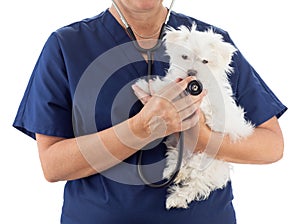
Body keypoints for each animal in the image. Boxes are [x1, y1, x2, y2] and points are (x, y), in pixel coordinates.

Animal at [132, 23, 252, 209]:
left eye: (205, 61)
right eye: (184, 56)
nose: (192, 72)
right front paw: (147, 86)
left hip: (208, 161)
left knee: (195, 181)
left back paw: (178, 193)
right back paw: (174, 172)